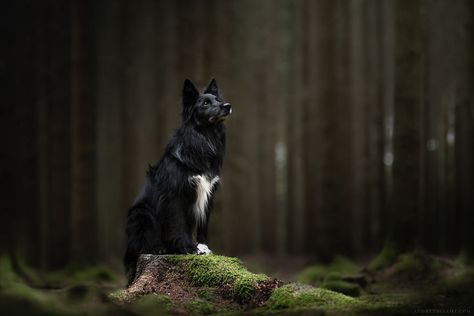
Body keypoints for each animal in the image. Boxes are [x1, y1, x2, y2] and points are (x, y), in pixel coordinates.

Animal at [124, 78, 231, 284]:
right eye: (205, 103)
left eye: (218, 99)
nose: (227, 106)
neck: (205, 137)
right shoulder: (175, 194)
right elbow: (178, 222)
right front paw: (188, 248)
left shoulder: (208, 194)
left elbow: (202, 226)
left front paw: (203, 247)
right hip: (141, 214)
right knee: (143, 242)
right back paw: (158, 248)